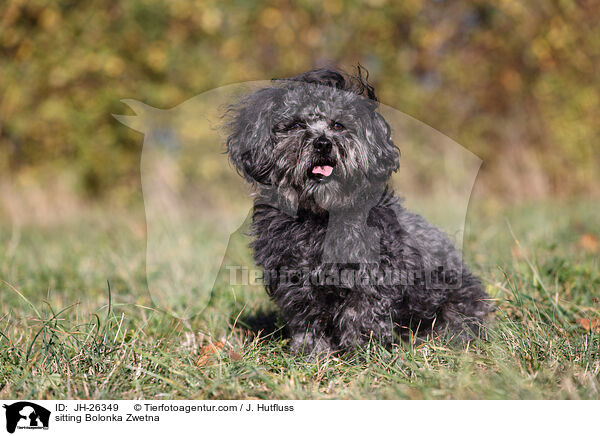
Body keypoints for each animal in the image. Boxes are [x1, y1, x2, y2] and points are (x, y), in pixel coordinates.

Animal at [226, 68, 492, 354]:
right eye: (296, 125)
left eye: (338, 125)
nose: (323, 144)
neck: (320, 216)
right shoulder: (293, 280)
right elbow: (307, 320)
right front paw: (312, 355)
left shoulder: (372, 276)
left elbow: (360, 316)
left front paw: (364, 353)